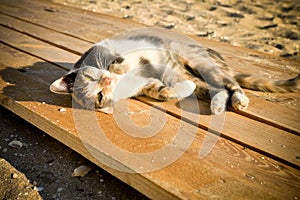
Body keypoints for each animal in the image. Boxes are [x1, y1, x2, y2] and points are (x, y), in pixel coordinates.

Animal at [49, 28, 300, 114]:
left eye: (92, 78)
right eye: (99, 97)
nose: (108, 83)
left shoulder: (107, 49)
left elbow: (117, 61)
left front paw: (118, 65)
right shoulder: (146, 85)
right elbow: (160, 89)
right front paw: (170, 91)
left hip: (196, 60)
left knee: (230, 83)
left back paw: (239, 100)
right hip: (199, 77)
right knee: (217, 87)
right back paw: (218, 105)